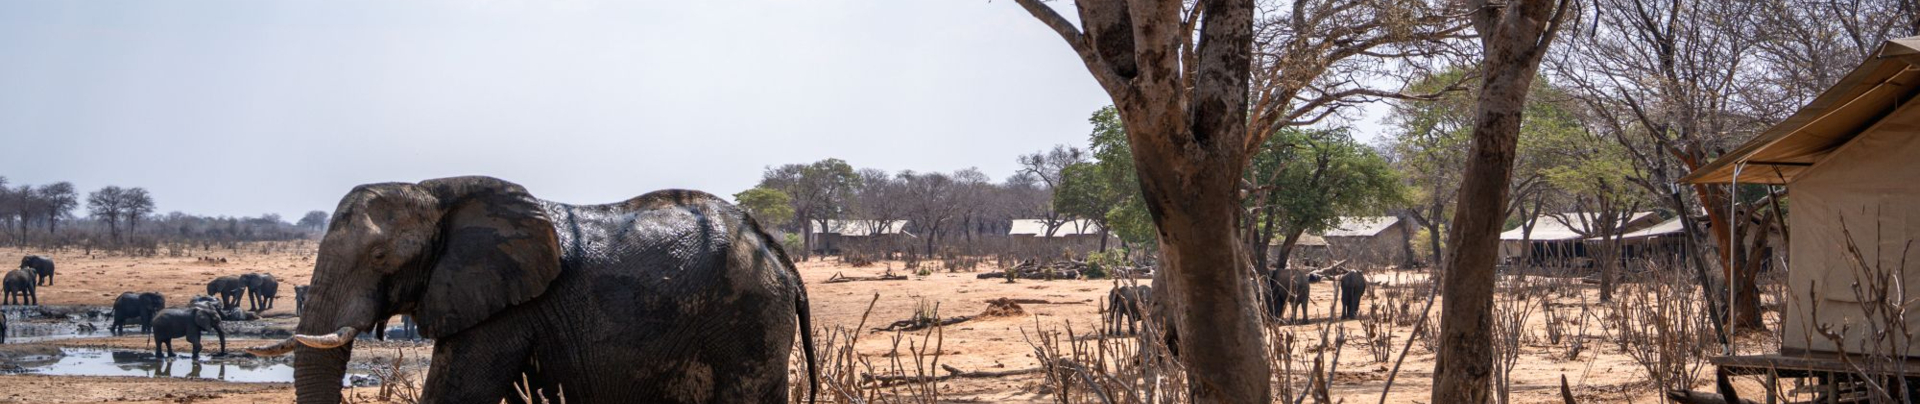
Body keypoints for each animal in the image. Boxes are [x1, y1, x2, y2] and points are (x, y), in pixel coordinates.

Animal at [244, 176, 818, 404]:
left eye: (381, 258)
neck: (438, 191)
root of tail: (778, 254)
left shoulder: (503, 310)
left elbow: (457, 394)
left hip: (748, 318)